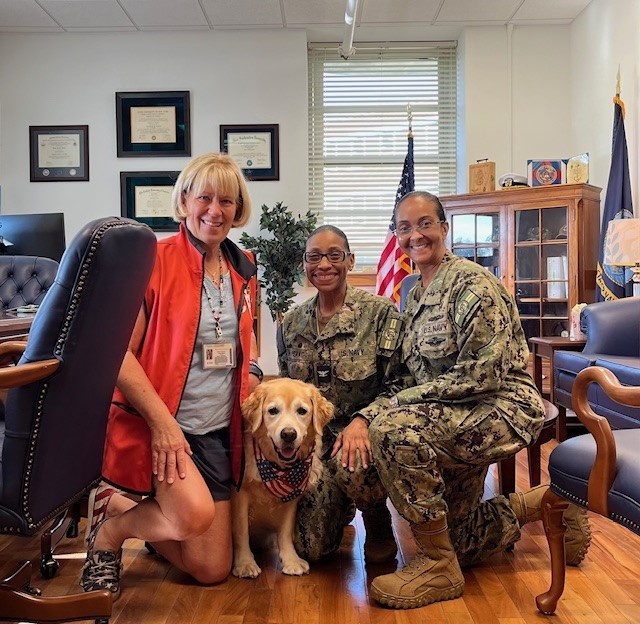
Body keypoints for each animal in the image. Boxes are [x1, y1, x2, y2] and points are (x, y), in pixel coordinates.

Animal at [231, 378, 336, 576]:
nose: (288, 434)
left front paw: (291, 561)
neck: (278, 468)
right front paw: (244, 563)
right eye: (273, 410)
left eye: (302, 411)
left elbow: (285, 531)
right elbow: (241, 530)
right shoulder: (241, 493)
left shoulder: (292, 496)